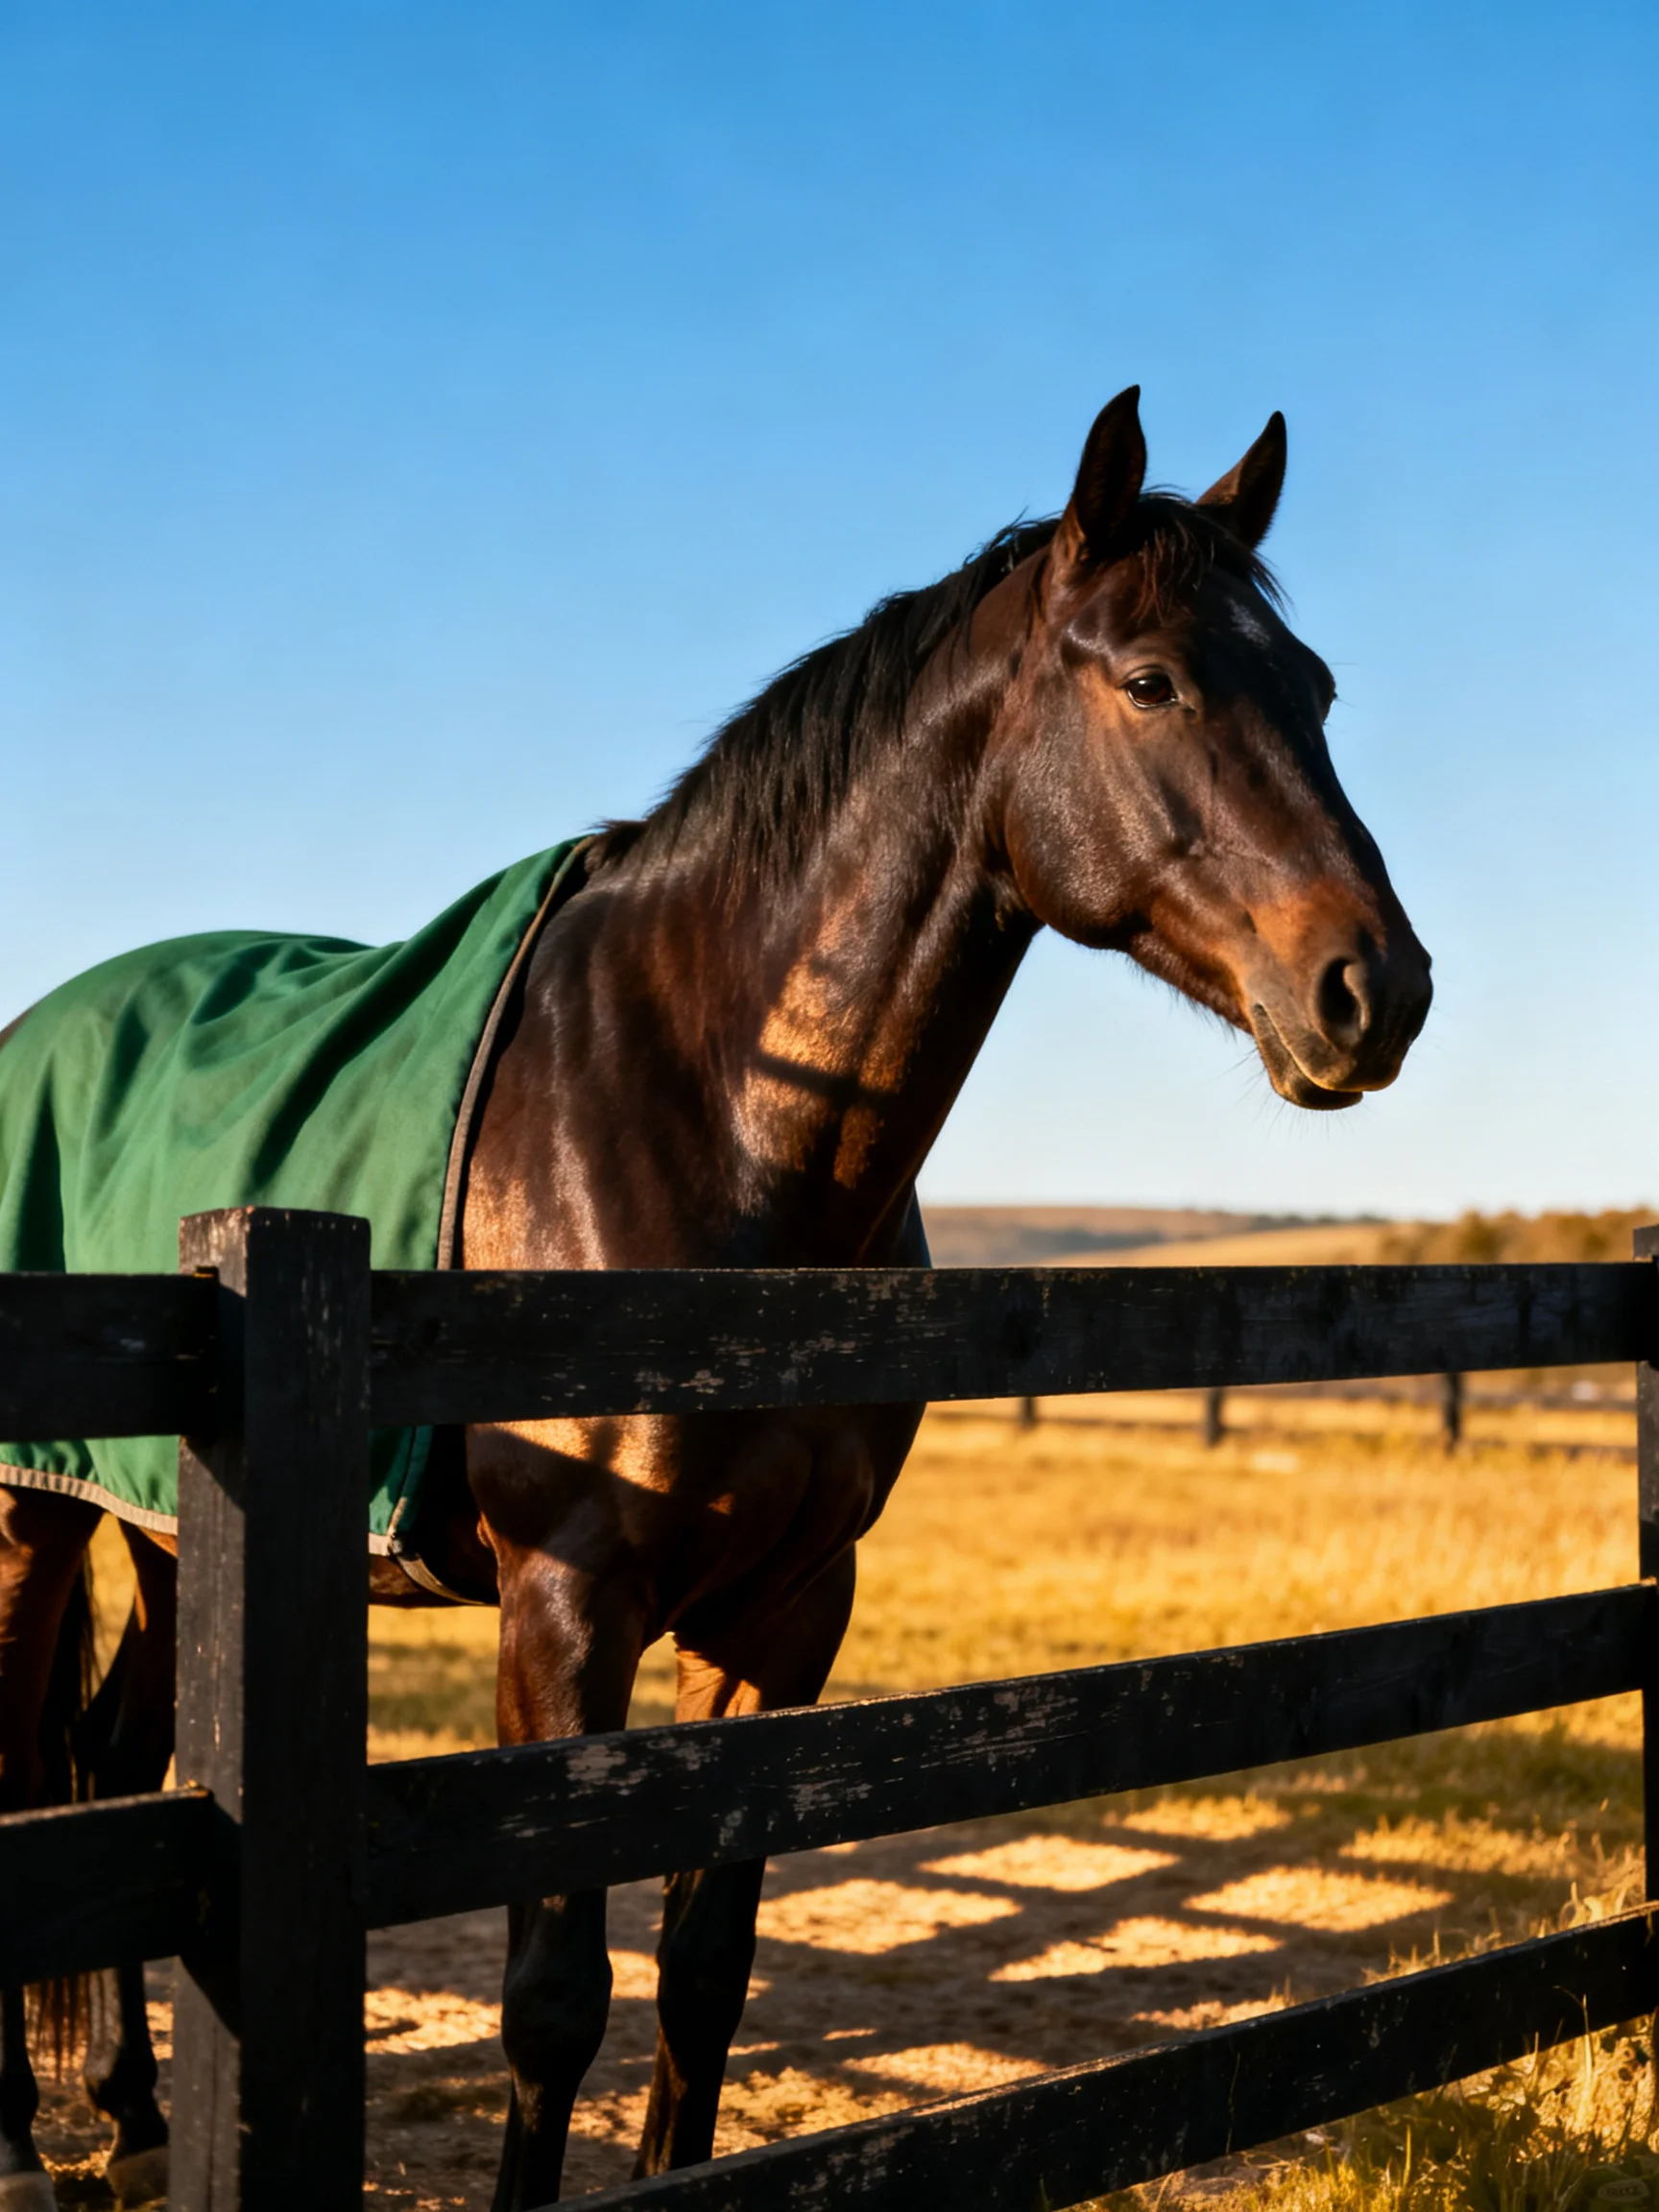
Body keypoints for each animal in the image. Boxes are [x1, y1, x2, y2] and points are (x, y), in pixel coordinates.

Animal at [0, 387, 1432, 2208]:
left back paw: (122, 2111)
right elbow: (556, 1998)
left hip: (172, 1530)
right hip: (32, 1518)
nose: (1373, 988)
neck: (711, 1121)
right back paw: (27, 2143)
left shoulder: (784, 1616)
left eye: (1312, 688)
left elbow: (704, 1974)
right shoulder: (565, 1607)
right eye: (1151, 679)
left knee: (122, 1769)